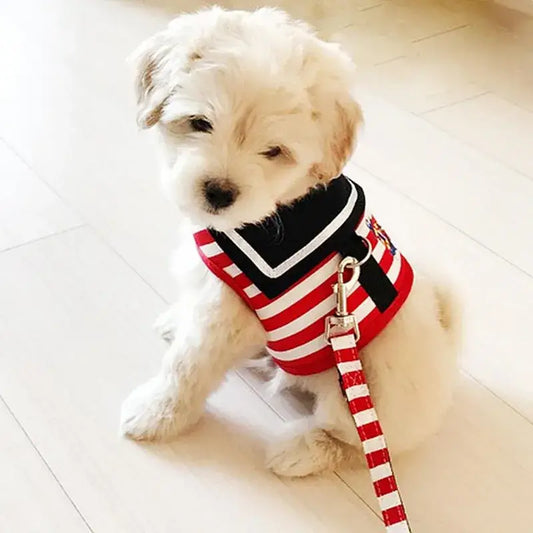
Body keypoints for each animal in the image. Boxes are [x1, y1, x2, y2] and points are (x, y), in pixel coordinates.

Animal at [119, 6, 458, 476]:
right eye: (200, 123)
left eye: (274, 151)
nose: (219, 192)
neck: (273, 209)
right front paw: (178, 320)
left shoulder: (227, 313)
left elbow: (187, 367)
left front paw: (157, 413)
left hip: (362, 391)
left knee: (361, 444)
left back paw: (299, 451)